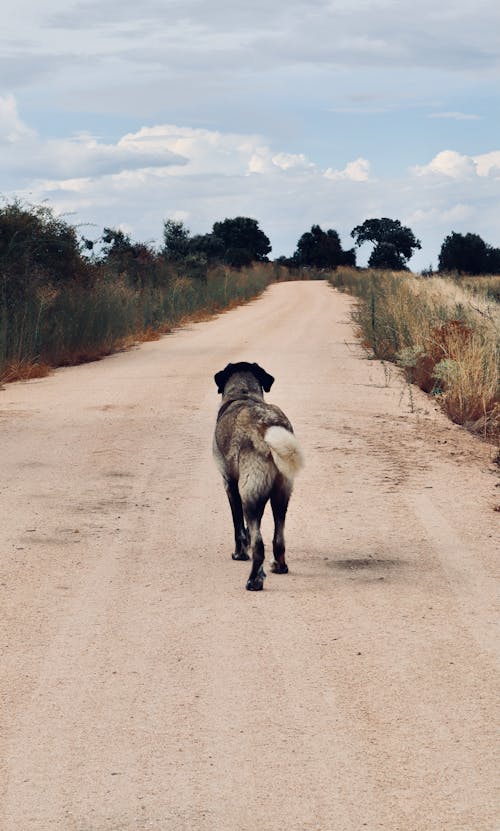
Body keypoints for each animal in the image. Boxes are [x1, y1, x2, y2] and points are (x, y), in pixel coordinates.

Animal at [213, 362, 302, 592]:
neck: (244, 393)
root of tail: (267, 425)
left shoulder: (230, 484)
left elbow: (239, 526)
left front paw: (239, 553)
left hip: (249, 495)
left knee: (259, 544)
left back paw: (254, 580)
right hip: (281, 495)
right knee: (278, 539)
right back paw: (279, 566)